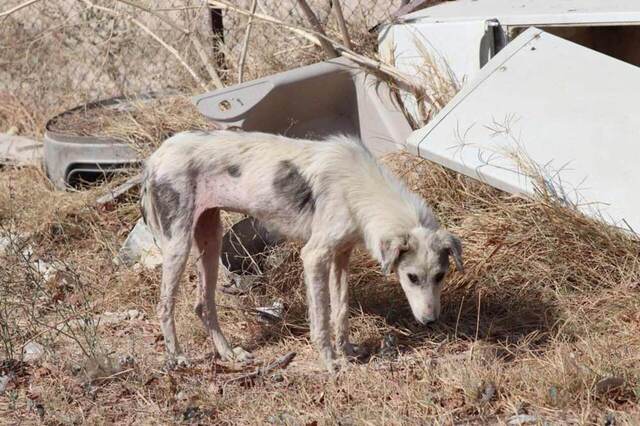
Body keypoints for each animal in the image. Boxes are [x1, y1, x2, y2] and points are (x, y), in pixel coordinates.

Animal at [140, 131, 462, 372]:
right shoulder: (315, 257)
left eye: (441, 276)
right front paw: (330, 361)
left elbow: (340, 310)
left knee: (203, 305)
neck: (358, 187)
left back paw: (229, 353)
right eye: (411, 278)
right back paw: (177, 357)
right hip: (178, 245)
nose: (431, 322)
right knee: (164, 306)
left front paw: (347, 350)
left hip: (211, 240)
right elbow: (321, 316)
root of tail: (156, 157)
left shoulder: (341, 256)